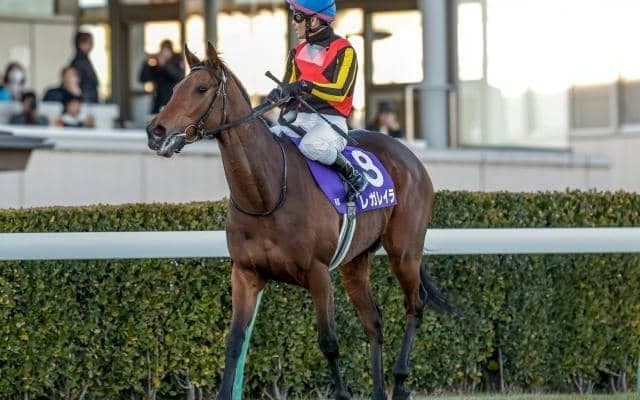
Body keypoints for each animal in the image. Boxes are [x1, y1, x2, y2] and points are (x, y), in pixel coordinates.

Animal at [146, 42, 451, 400]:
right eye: (174, 88)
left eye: (201, 89)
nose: (156, 131)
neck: (267, 194)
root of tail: (410, 157)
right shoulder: (245, 273)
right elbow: (234, 343)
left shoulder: (319, 274)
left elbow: (329, 343)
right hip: (355, 261)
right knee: (373, 322)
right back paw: (379, 389)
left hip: (404, 251)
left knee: (414, 306)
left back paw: (401, 382)